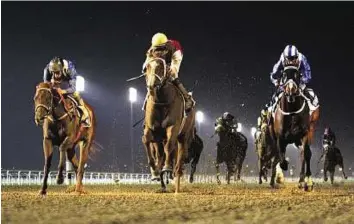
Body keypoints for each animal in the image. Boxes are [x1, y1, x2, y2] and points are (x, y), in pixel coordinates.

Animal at [142, 57, 196, 192]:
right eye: (147, 67)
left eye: (162, 67)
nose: (152, 86)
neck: (161, 101)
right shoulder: (152, 129)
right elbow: (146, 140)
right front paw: (155, 172)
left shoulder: (173, 127)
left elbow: (169, 146)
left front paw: (167, 168)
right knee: (162, 154)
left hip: (184, 136)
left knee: (180, 156)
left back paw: (176, 183)